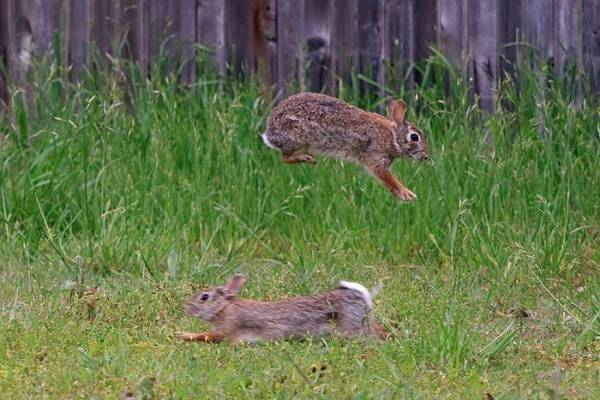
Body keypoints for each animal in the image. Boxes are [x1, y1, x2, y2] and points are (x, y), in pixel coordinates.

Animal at [176, 276, 386, 344]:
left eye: (204, 297)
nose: (185, 307)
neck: (224, 308)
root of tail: (361, 299)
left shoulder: (227, 328)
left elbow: (206, 335)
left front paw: (182, 335)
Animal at [262, 92, 426, 202]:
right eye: (414, 137)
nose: (425, 156)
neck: (391, 137)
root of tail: (269, 133)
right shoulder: (376, 159)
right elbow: (389, 179)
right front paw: (407, 194)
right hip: (297, 137)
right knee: (285, 157)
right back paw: (307, 159)